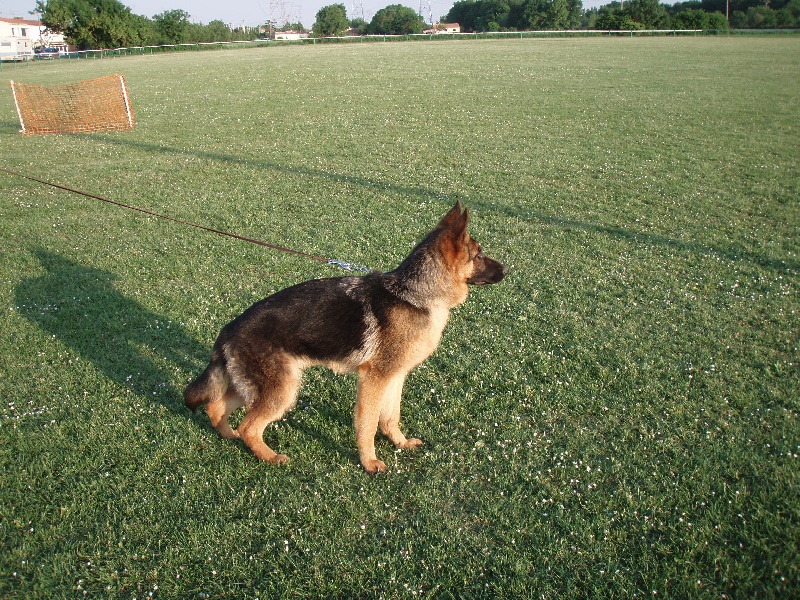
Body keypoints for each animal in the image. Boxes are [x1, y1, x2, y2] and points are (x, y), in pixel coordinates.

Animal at [186, 202, 506, 474]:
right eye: (478, 254)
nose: (506, 270)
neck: (414, 294)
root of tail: (228, 331)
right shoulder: (374, 379)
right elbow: (368, 424)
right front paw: (369, 462)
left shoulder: (395, 376)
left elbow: (390, 416)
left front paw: (400, 443)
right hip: (283, 390)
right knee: (249, 426)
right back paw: (270, 456)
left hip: (255, 386)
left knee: (216, 407)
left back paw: (229, 436)